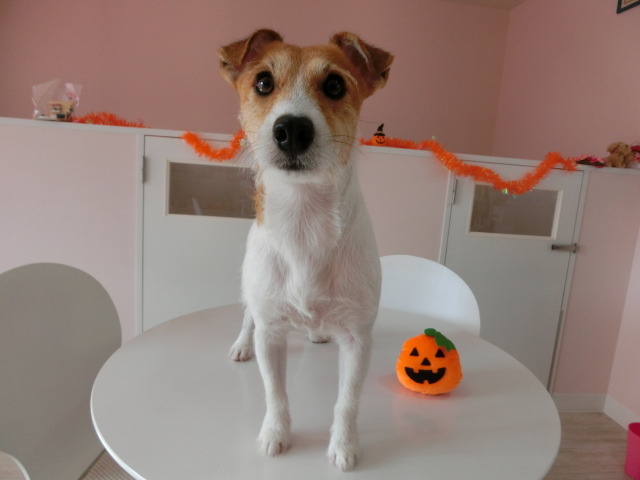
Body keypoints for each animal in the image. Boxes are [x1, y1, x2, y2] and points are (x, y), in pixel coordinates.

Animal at [218, 29, 393, 471]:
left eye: (334, 85)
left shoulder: (358, 339)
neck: (304, 222)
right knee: (248, 316)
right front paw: (276, 435)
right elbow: (275, 395)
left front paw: (344, 446)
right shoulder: (271, 335)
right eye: (263, 82)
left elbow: (347, 401)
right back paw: (241, 343)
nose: (292, 129)